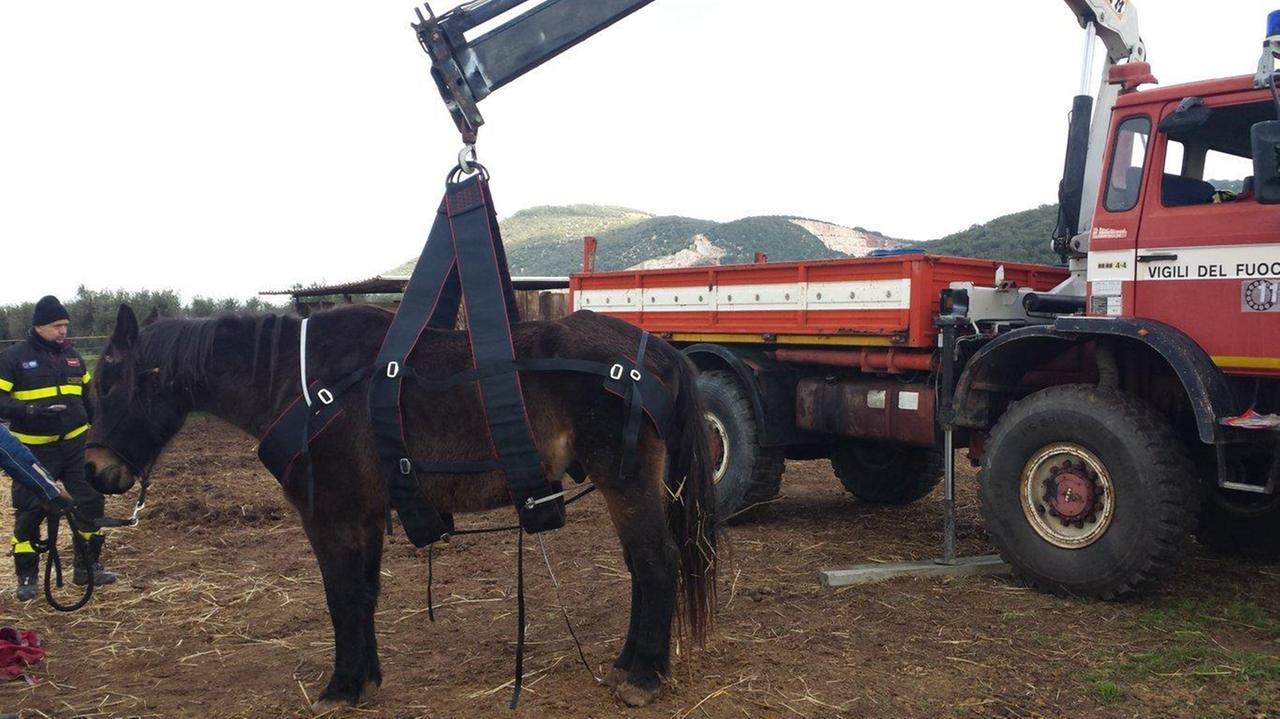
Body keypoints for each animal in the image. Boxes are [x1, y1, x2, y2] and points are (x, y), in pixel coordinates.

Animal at [84, 303, 717, 710]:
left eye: (108, 384)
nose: (93, 469)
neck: (303, 383)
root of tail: (660, 352)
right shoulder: (363, 516)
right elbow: (363, 596)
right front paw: (365, 679)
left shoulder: (330, 517)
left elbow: (341, 598)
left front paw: (341, 686)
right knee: (641, 569)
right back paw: (628, 663)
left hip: (626, 483)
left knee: (655, 564)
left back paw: (643, 676)